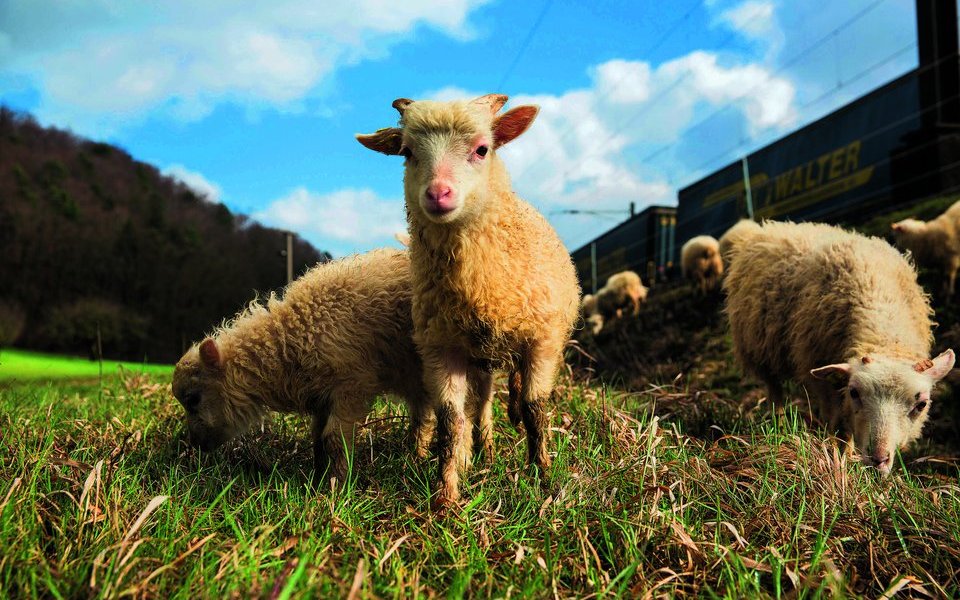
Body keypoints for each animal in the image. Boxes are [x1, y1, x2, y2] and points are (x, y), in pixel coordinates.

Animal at [174, 247, 440, 478]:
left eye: (193, 399)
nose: (195, 444)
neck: (290, 338)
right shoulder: (322, 396)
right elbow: (317, 439)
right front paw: (318, 476)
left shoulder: (351, 387)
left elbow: (334, 439)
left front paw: (337, 484)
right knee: (423, 414)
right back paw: (415, 457)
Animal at [354, 94, 576, 506]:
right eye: (407, 152)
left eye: (482, 149)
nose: (438, 194)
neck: (481, 284)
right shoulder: (442, 349)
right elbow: (450, 421)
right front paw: (447, 493)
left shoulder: (542, 341)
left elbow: (536, 410)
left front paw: (544, 477)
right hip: (480, 359)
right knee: (483, 403)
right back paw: (485, 449)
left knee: (515, 393)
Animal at [724, 220, 956, 474]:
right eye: (854, 393)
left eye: (921, 404)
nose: (878, 459)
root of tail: (763, 228)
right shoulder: (820, 378)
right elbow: (839, 426)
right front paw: (840, 459)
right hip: (759, 348)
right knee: (774, 389)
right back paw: (779, 421)